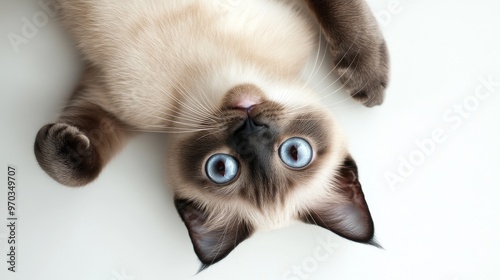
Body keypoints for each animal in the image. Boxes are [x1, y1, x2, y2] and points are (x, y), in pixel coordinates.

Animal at [35, 0, 388, 268]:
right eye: (221, 168)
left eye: (294, 153)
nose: (250, 129)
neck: (212, 67)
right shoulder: (109, 99)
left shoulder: (107, 101)